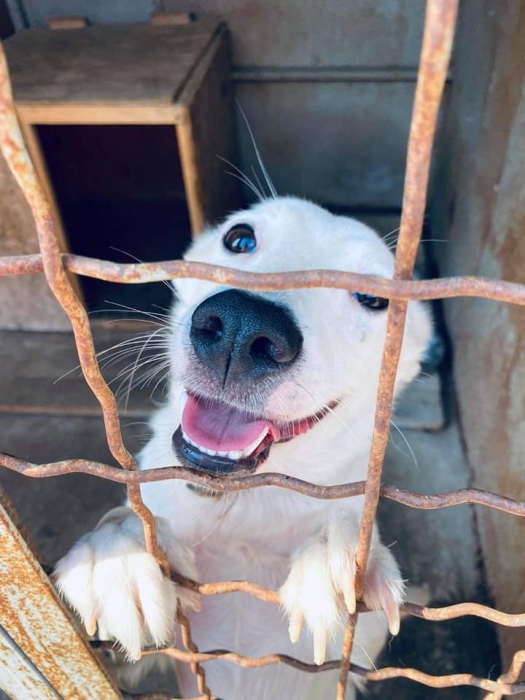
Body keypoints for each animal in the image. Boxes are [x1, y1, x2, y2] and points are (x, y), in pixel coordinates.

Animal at [54, 194, 430, 696]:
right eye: (240, 239)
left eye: (373, 298)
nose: (242, 326)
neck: (240, 504)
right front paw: (120, 554)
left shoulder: (353, 656)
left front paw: (337, 553)